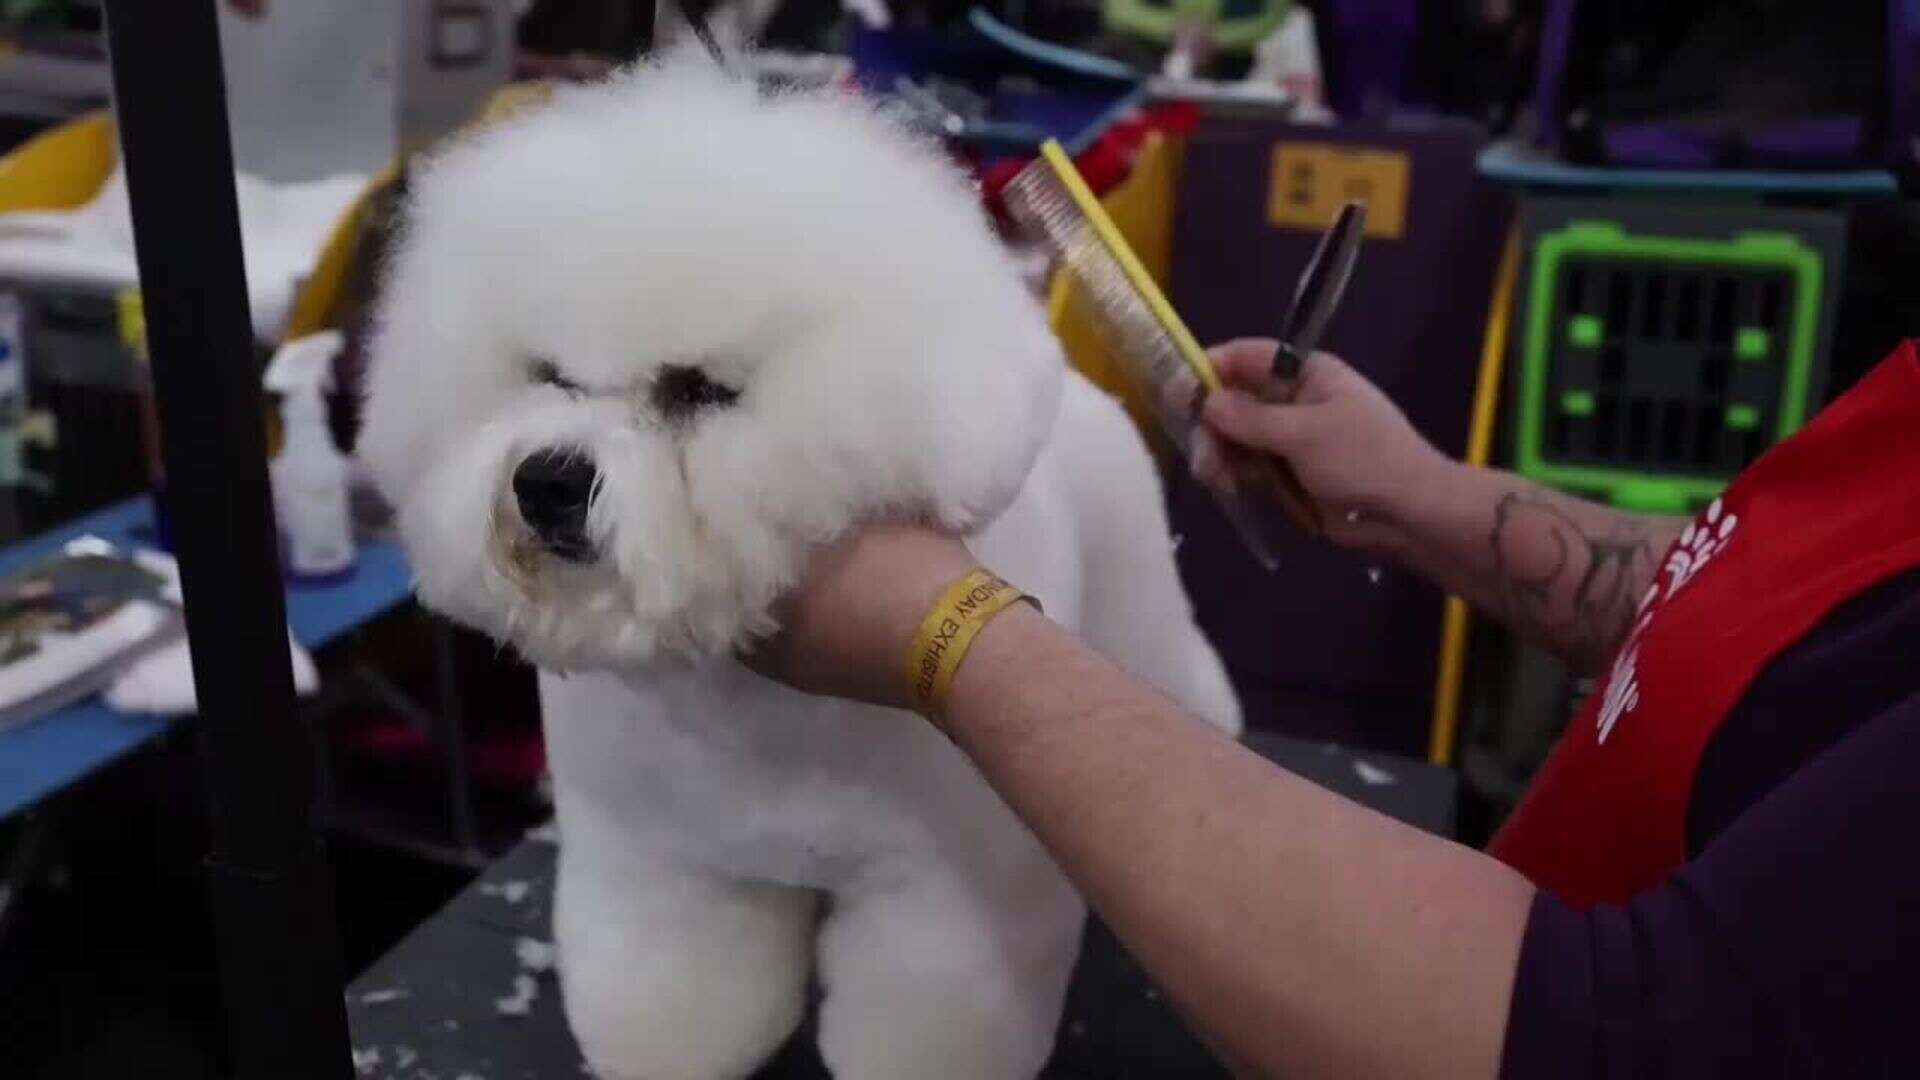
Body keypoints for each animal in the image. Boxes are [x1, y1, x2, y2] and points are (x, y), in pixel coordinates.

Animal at [355, 54, 1236, 1076]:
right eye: (548, 376)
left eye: (699, 389)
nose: (547, 481)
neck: (756, 715)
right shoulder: (670, 860)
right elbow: (674, 983)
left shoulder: (947, 895)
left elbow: (937, 1006)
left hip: (1137, 597)